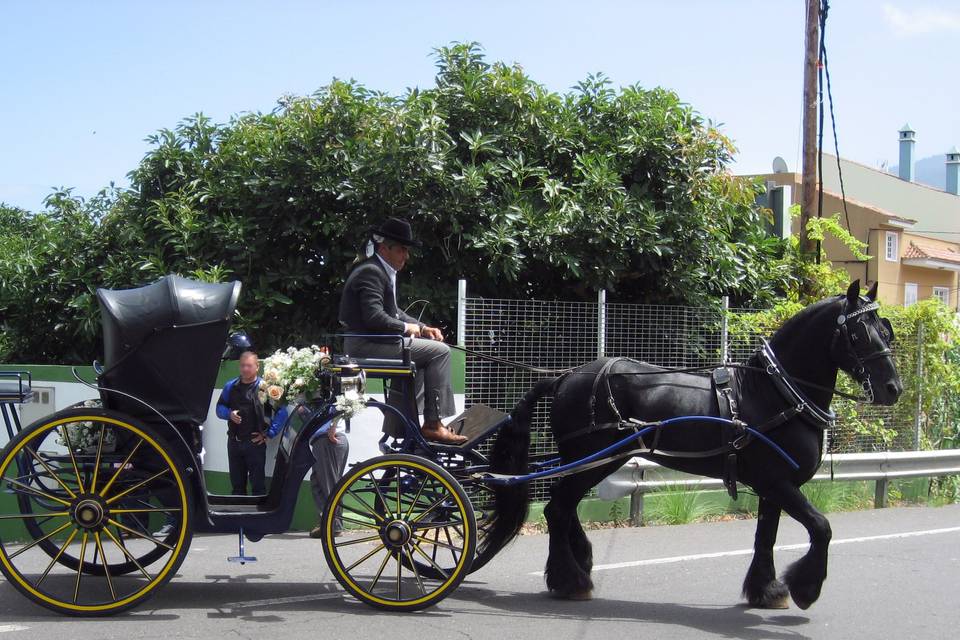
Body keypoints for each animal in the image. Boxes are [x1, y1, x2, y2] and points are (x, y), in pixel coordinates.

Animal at [488, 282, 900, 608]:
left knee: (565, 506)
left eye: (887, 331)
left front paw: (766, 591)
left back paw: (579, 563)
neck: (776, 394)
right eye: (859, 334)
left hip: (594, 460)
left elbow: (765, 537)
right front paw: (805, 588)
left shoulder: (773, 487)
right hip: (593, 459)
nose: (893, 389)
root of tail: (565, 376)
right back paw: (570, 580)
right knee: (557, 509)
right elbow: (821, 527)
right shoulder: (777, 484)